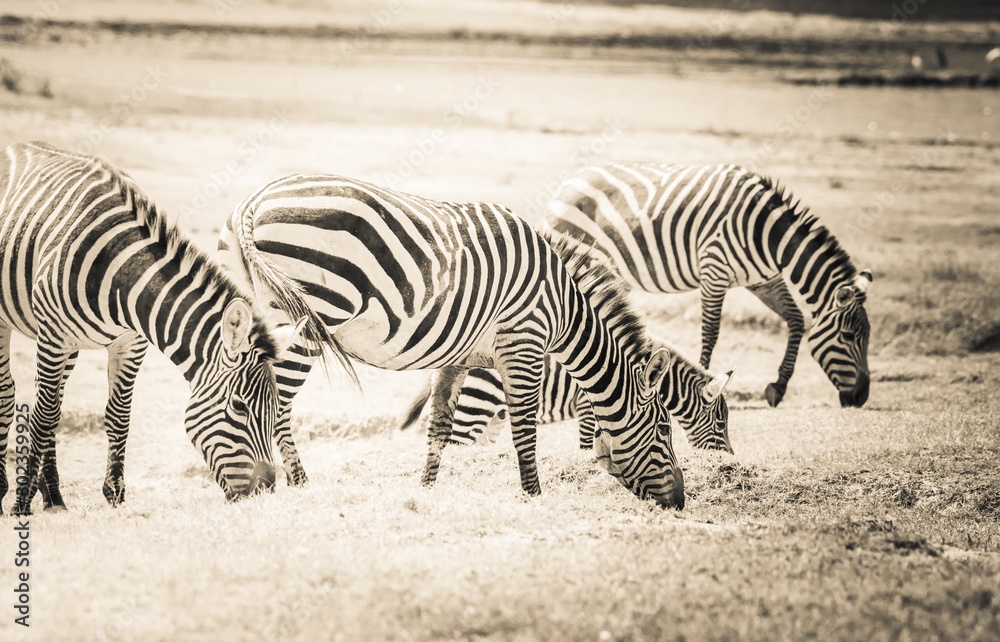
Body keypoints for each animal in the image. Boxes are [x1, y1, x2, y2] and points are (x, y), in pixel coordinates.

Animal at [0, 141, 300, 516]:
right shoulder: (55, 336)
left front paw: (115, 495)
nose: (265, 490)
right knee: (13, 395)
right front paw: (21, 505)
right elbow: (43, 417)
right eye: (239, 407)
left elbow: (118, 415)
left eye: (275, 409)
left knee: (50, 396)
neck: (121, 273)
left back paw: (53, 495)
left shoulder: (130, 342)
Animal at [219, 172, 688, 508]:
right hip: (306, 316)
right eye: (665, 429)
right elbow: (523, 427)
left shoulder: (456, 355)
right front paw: (534, 496)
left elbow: (439, 426)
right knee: (276, 403)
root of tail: (254, 202)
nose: (679, 503)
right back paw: (300, 482)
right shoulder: (524, 342)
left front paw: (425, 490)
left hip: (244, 311)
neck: (564, 309)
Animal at [398, 338, 736, 452]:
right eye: (721, 425)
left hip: (493, 414)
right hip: (474, 405)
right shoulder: (587, 406)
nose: (728, 458)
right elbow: (586, 447)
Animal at [544, 162, 872, 408]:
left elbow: (796, 319)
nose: (860, 397)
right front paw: (702, 386)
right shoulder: (715, 271)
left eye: (867, 336)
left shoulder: (765, 280)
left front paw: (778, 386)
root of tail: (571, 179)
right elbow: (711, 331)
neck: (768, 235)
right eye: (847, 336)